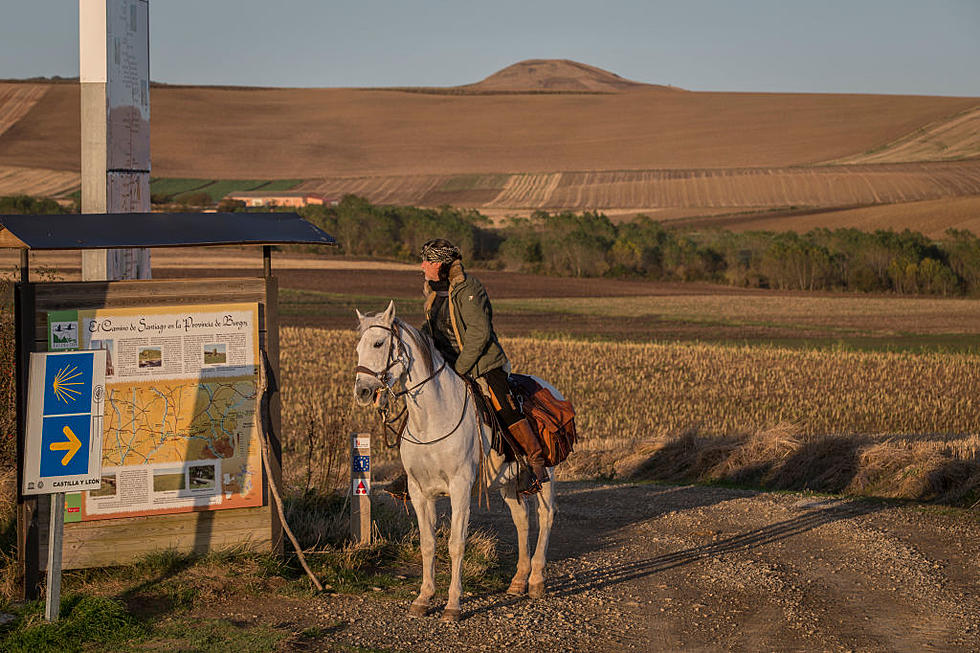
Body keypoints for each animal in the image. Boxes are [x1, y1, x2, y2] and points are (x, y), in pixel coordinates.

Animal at [352, 300, 556, 620]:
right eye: (358, 347)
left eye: (378, 343)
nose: (361, 391)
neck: (432, 418)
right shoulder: (419, 491)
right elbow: (428, 543)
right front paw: (423, 598)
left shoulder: (460, 488)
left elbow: (456, 544)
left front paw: (453, 604)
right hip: (509, 483)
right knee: (521, 519)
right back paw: (518, 580)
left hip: (546, 474)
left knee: (545, 516)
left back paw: (535, 580)